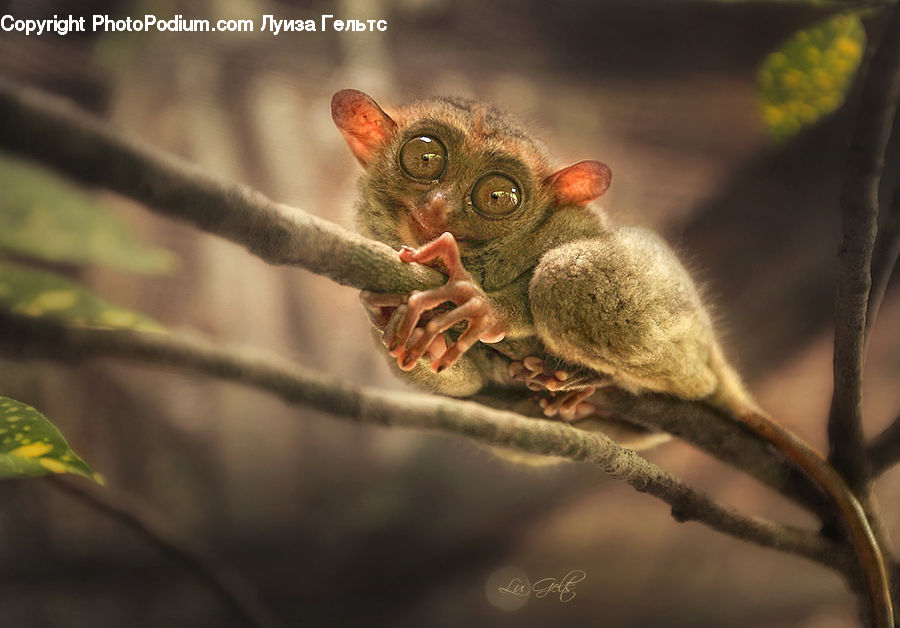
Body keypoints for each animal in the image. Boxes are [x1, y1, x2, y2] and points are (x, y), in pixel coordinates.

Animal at [331, 88, 893, 626]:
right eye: (424, 158)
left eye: (497, 197)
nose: (439, 208)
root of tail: (714, 354)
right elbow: (458, 381)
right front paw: (398, 322)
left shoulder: (565, 226)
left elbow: (543, 269)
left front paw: (481, 304)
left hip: (676, 325)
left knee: (566, 277)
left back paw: (590, 379)